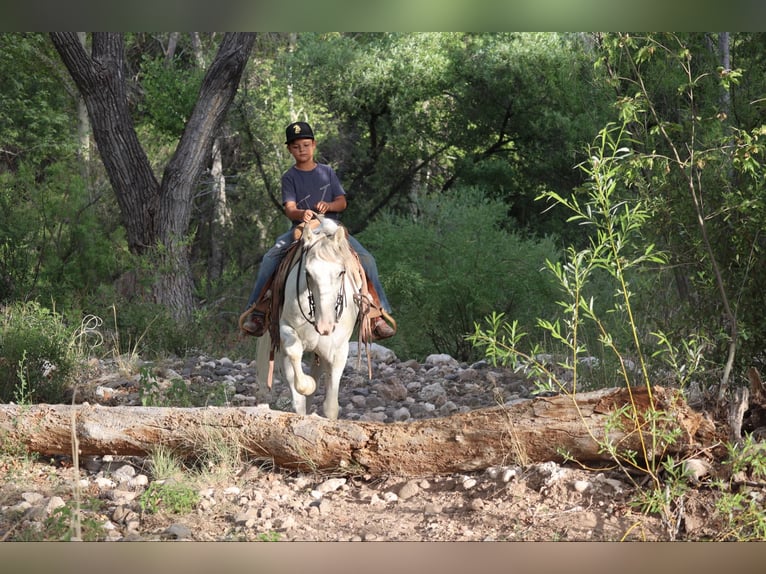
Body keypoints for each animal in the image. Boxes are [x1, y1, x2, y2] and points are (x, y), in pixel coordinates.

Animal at [255, 216, 364, 419]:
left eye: (341, 272)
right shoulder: (284, 328)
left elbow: (331, 406)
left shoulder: (339, 349)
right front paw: (307, 385)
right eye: (308, 273)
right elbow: (295, 355)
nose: (325, 326)